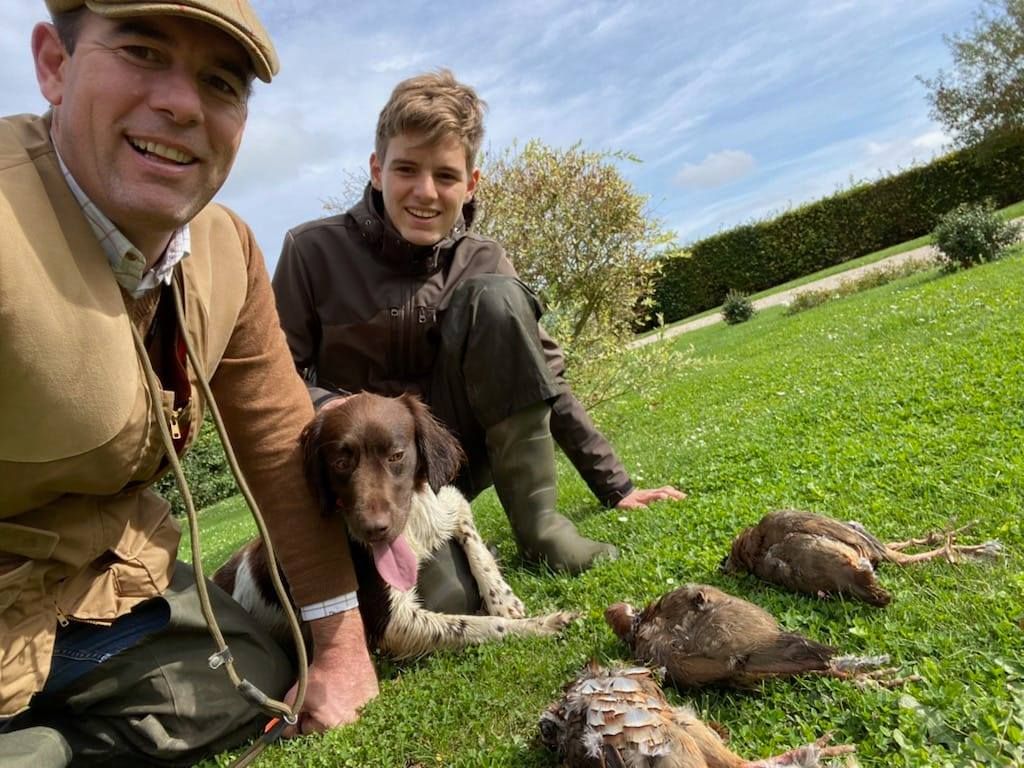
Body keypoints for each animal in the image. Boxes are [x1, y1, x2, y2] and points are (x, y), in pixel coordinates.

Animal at [212, 393, 577, 659]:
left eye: (396, 455)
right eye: (340, 463)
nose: (374, 529)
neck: (410, 531)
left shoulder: (443, 504)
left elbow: (469, 533)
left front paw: (503, 598)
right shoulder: (392, 622)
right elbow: (478, 626)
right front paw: (540, 625)